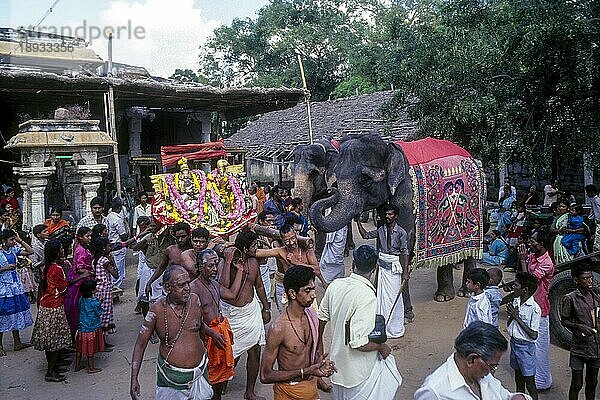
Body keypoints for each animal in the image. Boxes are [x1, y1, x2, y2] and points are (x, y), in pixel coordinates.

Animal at [296, 133, 488, 308]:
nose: (332, 191)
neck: (389, 148)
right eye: (336, 176)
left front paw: (404, 313)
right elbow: (382, 243)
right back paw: (443, 296)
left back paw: (464, 292)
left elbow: (404, 243)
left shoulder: (406, 198)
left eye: (365, 179)